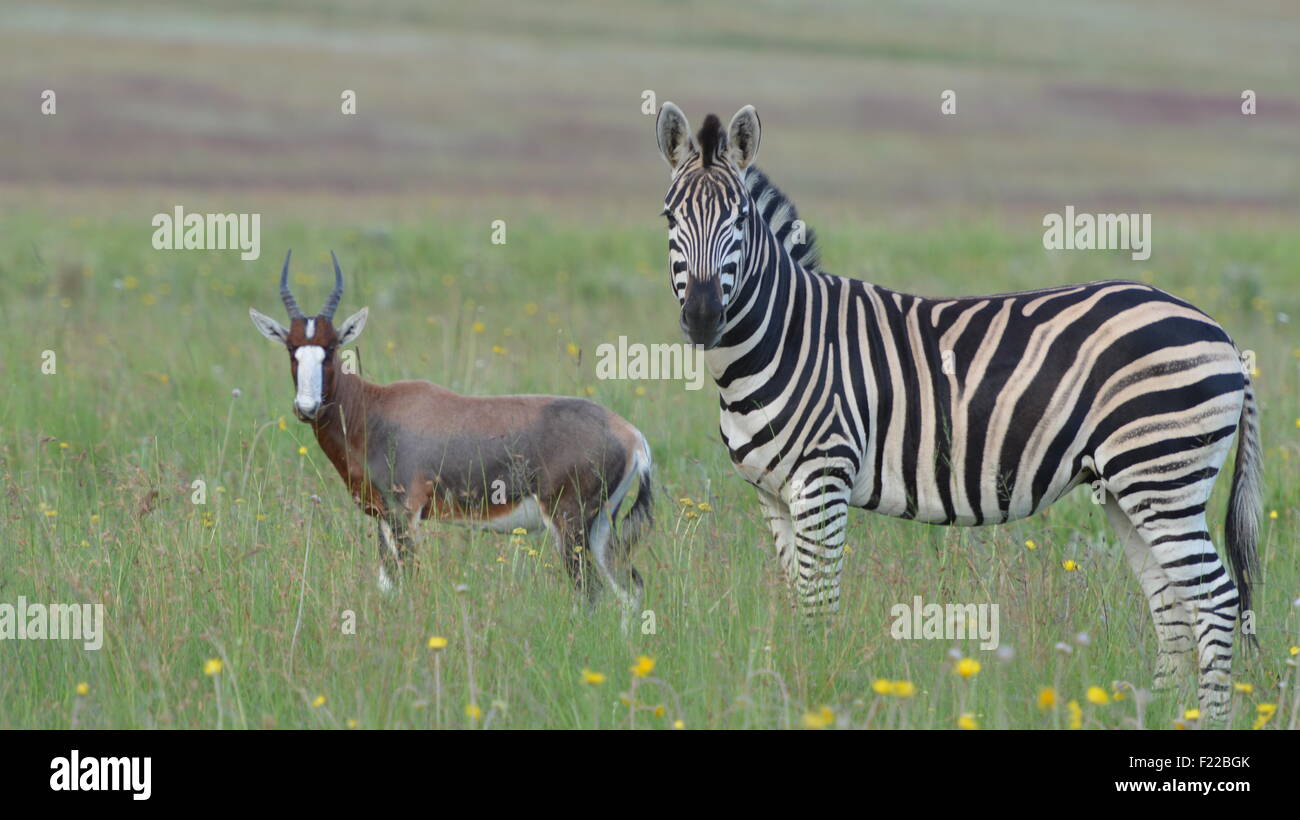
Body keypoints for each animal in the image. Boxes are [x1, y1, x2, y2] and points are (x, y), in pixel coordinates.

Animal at [245, 252, 650, 615]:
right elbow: (387, 586)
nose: (307, 407)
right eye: (292, 348)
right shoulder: (383, 518)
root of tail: (632, 436)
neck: (375, 410)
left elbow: (409, 581)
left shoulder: (405, 514)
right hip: (600, 529)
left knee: (592, 592)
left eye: (330, 348)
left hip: (571, 526)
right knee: (629, 589)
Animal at [655, 101, 1263, 717]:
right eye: (669, 217)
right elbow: (797, 599)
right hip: (1127, 486)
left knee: (1214, 599)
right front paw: (798, 680)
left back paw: (1210, 719)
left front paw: (817, 688)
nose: (703, 317)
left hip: (1163, 475)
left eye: (739, 220)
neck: (785, 339)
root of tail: (1219, 331)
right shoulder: (773, 494)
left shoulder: (823, 479)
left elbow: (819, 602)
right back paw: (1165, 712)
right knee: (1172, 605)